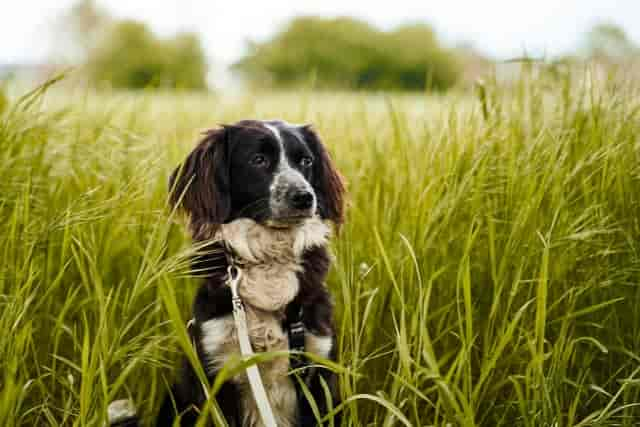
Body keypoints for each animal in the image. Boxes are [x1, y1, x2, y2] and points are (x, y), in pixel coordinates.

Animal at [109, 120, 344, 427]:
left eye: (306, 161)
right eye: (258, 160)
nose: (305, 197)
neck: (269, 258)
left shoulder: (318, 369)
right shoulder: (217, 371)